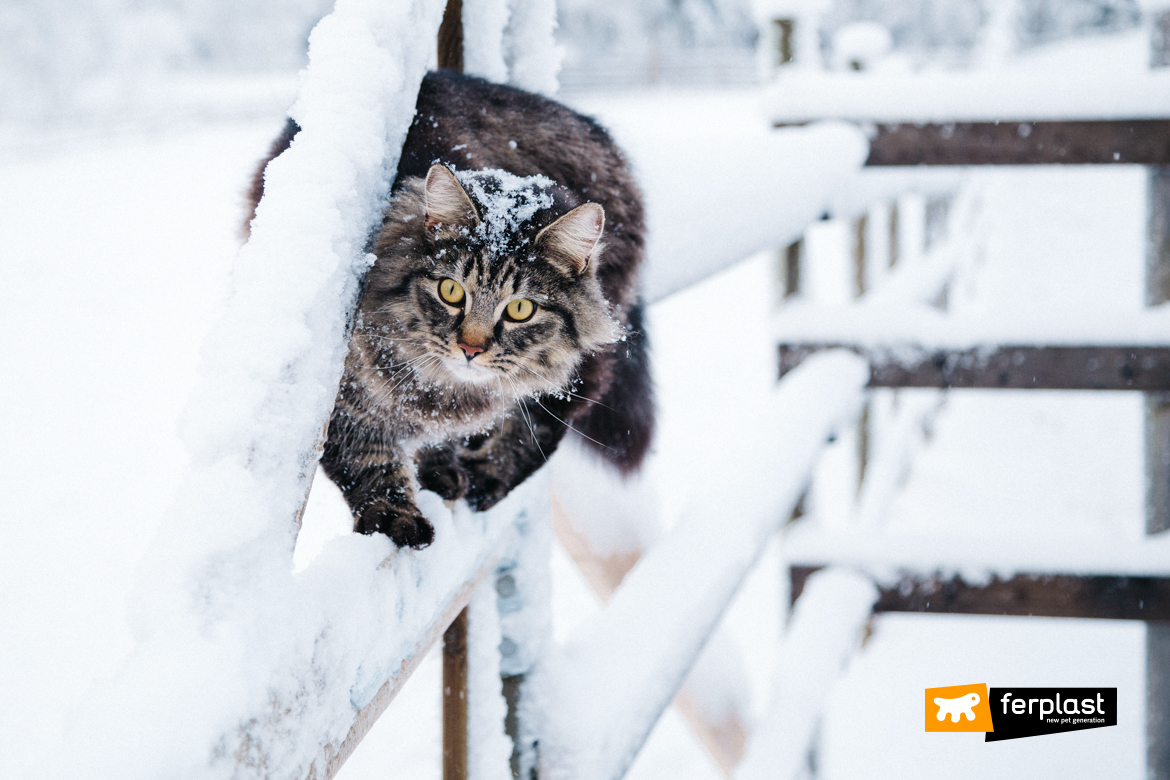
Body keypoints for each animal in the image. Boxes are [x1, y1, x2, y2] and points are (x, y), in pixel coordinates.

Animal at [248, 71, 655, 549]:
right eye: (451, 291)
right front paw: (394, 515)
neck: (442, 390)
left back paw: (483, 475)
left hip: (587, 359)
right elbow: (367, 459)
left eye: (520, 309)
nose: (471, 349)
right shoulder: (337, 393)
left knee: (544, 424)